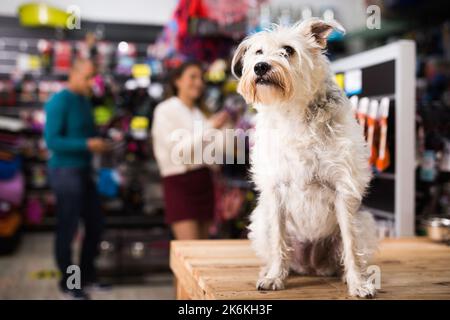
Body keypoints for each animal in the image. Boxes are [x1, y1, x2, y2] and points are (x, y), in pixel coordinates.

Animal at [234, 17, 378, 298]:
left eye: (288, 50)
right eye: (258, 52)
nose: (260, 66)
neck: (293, 110)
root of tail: (311, 265)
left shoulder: (343, 189)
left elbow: (350, 244)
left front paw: (357, 283)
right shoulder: (275, 191)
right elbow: (278, 241)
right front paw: (274, 277)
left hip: (364, 221)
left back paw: (344, 274)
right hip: (260, 221)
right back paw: (273, 270)